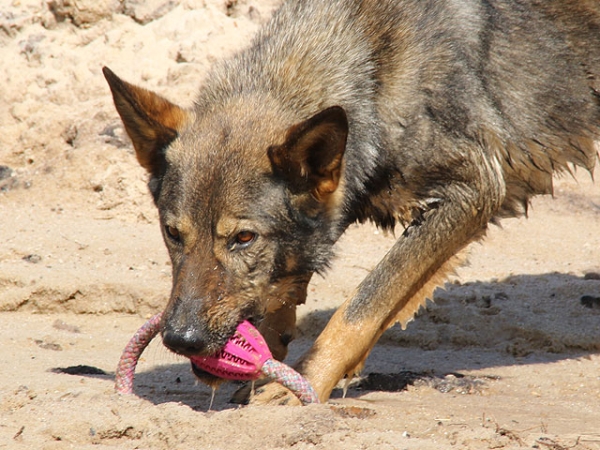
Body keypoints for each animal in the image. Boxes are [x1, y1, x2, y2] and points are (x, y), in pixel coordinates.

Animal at [103, 0, 600, 406]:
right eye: (173, 233)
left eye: (244, 238)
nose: (180, 338)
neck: (372, 68)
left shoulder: (475, 189)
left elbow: (363, 304)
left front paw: (302, 381)